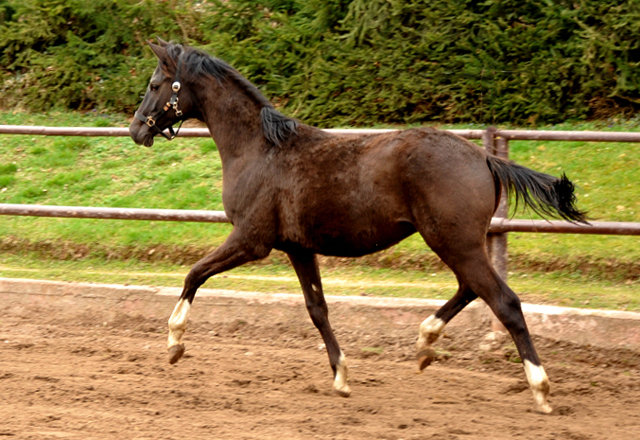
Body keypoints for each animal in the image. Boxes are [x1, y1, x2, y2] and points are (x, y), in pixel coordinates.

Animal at [129, 39, 584, 414]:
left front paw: (174, 343)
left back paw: (540, 390)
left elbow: (195, 273)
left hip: (454, 242)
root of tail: (484, 158)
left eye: (155, 84)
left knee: (503, 301)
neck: (259, 150)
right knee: (471, 290)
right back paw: (424, 344)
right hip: (456, 243)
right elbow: (317, 309)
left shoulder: (251, 240)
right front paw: (342, 377)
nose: (135, 129)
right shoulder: (298, 248)